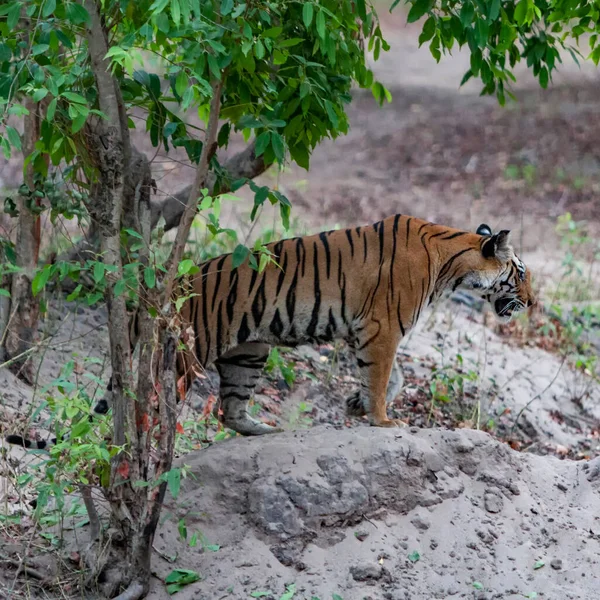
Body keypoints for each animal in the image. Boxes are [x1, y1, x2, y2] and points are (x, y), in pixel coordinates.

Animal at [8, 213, 536, 448]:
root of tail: (157, 292)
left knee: (229, 408)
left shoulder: (361, 329)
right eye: (522, 273)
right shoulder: (383, 327)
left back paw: (260, 429)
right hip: (185, 356)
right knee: (147, 406)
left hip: (249, 350)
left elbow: (389, 376)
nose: (532, 304)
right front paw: (383, 420)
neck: (453, 264)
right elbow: (386, 376)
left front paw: (356, 404)